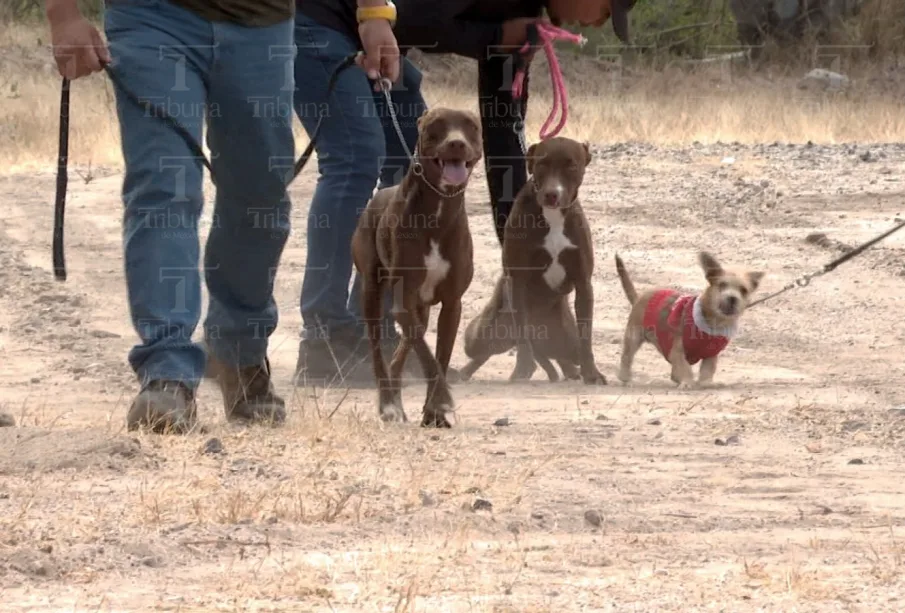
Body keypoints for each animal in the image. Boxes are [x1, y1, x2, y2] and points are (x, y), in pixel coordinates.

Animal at [350, 107, 484, 428]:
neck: (439, 207)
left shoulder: (452, 304)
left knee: (403, 350)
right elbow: (426, 353)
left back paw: (398, 403)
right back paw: (388, 405)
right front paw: (442, 401)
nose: (456, 143)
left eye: (471, 126)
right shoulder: (402, 301)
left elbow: (440, 357)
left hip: (420, 307)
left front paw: (434, 411)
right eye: (437, 125)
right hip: (371, 293)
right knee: (380, 351)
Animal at [616, 252, 764, 388]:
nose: (732, 298)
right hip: (634, 337)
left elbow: (707, 370)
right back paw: (625, 377)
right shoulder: (677, 351)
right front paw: (688, 382)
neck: (714, 322)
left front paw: (705, 383)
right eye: (722, 285)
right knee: (627, 356)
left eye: (743, 290)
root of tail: (639, 298)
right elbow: (684, 367)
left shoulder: (711, 355)